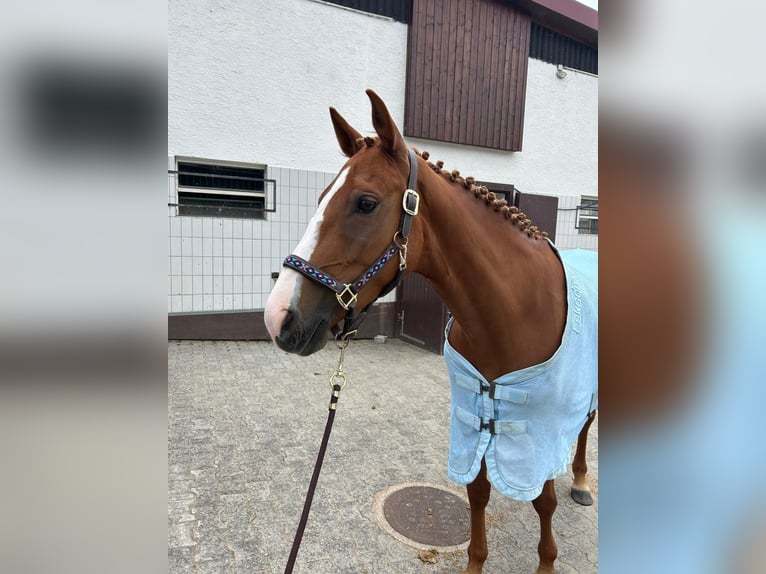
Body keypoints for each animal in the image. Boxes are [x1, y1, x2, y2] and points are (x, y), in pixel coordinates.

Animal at [264, 89, 598, 574]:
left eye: (365, 202)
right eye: (322, 196)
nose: (278, 317)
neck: (512, 311)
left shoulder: (540, 425)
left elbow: (543, 501)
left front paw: (547, 562)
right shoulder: (474, 414)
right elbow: (477, 492)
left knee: (587, 426)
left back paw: (582, 481)